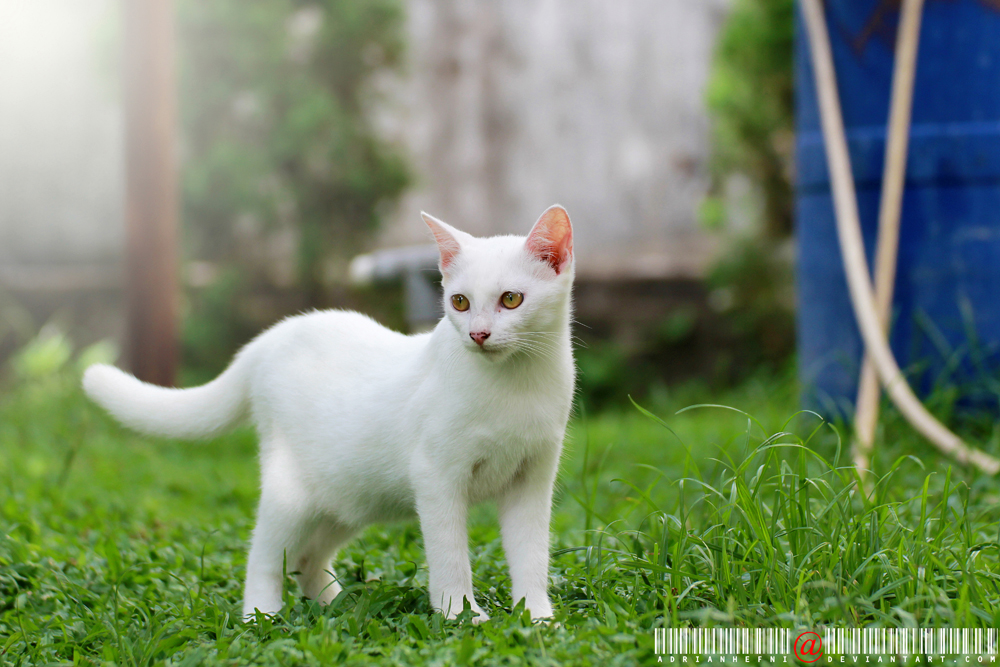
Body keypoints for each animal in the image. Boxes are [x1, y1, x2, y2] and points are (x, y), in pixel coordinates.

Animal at [84, 206, 580, 624]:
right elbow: (450, 557)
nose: (478, 334)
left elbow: (531, 554)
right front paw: (461, 616)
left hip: (348, 498)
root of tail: (272, 337)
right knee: (264, 557)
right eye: (459, 302)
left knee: (307, 560)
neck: (516, 385)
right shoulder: (437, 478)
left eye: (511, 299)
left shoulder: (533, 481)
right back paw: (262, 617)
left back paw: (339, 608)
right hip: (292, 494)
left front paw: (537, 617)